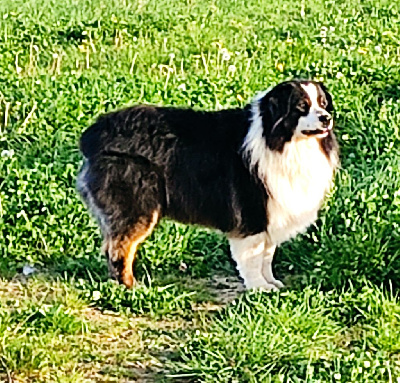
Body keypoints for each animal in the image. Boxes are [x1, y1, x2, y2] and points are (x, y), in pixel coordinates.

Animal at [77, 81, 338, 292]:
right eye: (301, 106)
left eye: (323, 103)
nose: (326, 117)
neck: (278, 139)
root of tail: (91, 135)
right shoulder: (253, 213)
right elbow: (253, 256)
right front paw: (259, 288)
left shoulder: (272, 211)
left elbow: (267, 254)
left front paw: (270, 282)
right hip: (139, 206)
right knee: (120, 248)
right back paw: (131, 287)